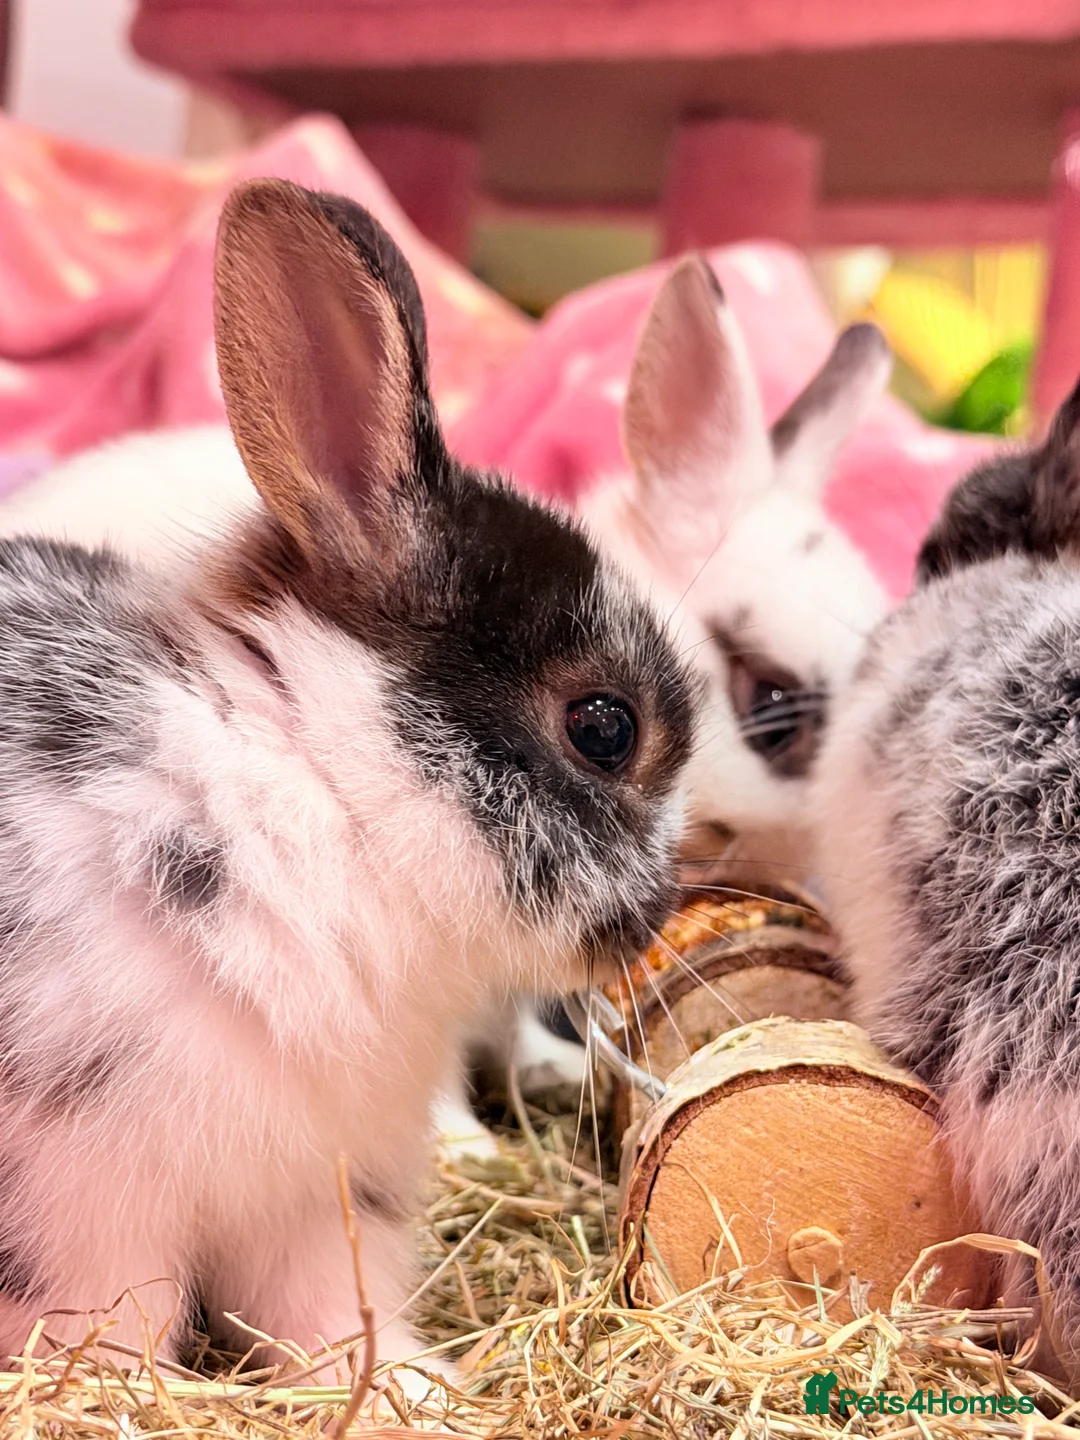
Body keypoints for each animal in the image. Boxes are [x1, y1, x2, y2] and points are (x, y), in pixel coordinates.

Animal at [0, 177, 698, 1386]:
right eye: (605, 727)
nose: (657, 918)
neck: (317, 801)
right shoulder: (85, 1204)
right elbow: (108, 1329)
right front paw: (125, 1391)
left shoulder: (318, 1199)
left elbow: (330, 1320)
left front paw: (416, 1392)